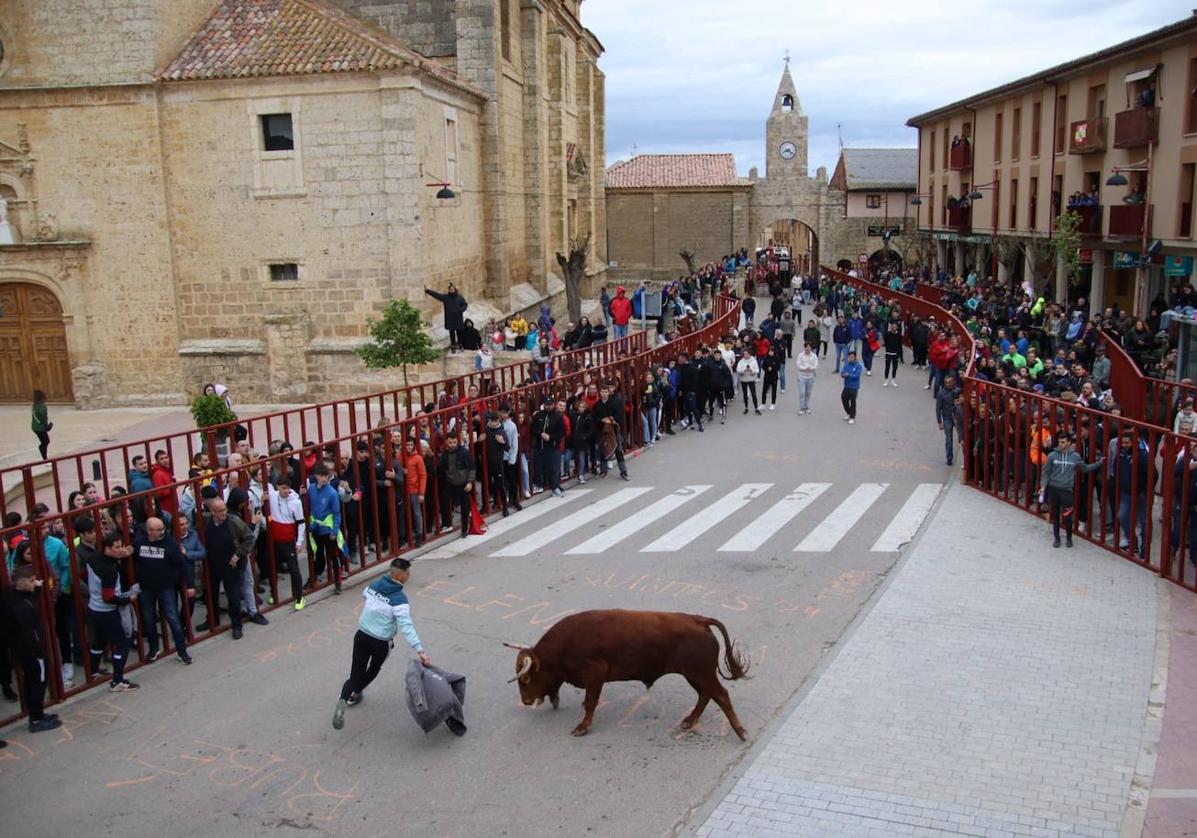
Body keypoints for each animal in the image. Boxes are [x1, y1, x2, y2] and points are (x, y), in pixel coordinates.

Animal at [502, 608, 746, 737]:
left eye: (525, 678)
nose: (525, 701)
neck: (565, 644)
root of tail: (698, 619)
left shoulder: (595, 676)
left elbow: (590, 702)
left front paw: (583, 727)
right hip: (695, 675)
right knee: (705, 695)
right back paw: (689, 721)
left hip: (701, 674)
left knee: (720, 695)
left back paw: (740, 731)